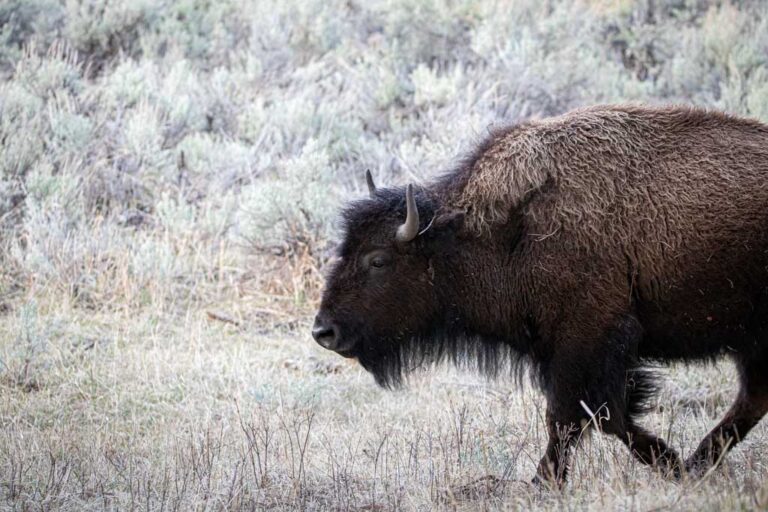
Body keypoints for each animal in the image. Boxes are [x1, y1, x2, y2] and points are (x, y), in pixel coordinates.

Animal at [310, 104, 768, 484]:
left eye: (378, 260)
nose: (323, 331)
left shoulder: (588, 338)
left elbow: (576, 416)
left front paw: (545, 482)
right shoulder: (566, 351)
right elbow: (601, 416)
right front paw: (669, 463)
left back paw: (695, 464)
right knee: (753, 397)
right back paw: (698, 464)